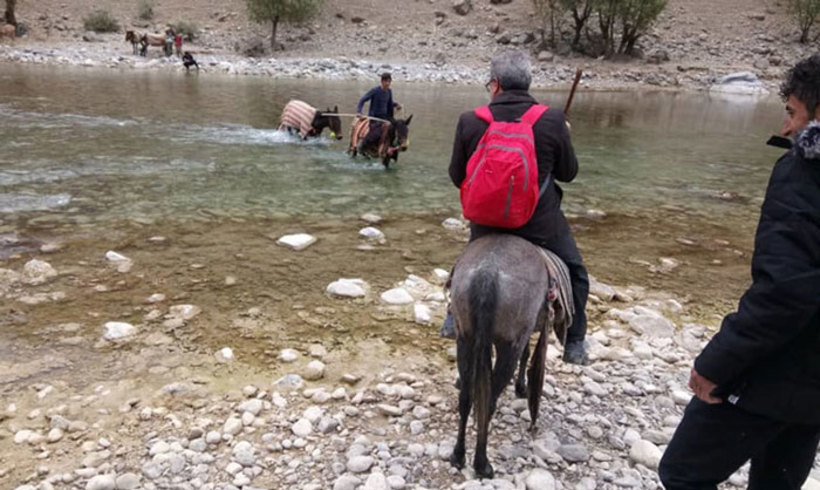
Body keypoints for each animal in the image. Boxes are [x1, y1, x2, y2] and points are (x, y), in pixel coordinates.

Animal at [448, 234, 572, 478]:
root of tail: (487, 271)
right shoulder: (521, 336)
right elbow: (526, 355)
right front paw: (522, 388)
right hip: (508, 346)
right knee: (488, 401)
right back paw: (482, 464)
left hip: (465, 338)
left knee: (466, 398)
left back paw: (458, 456)